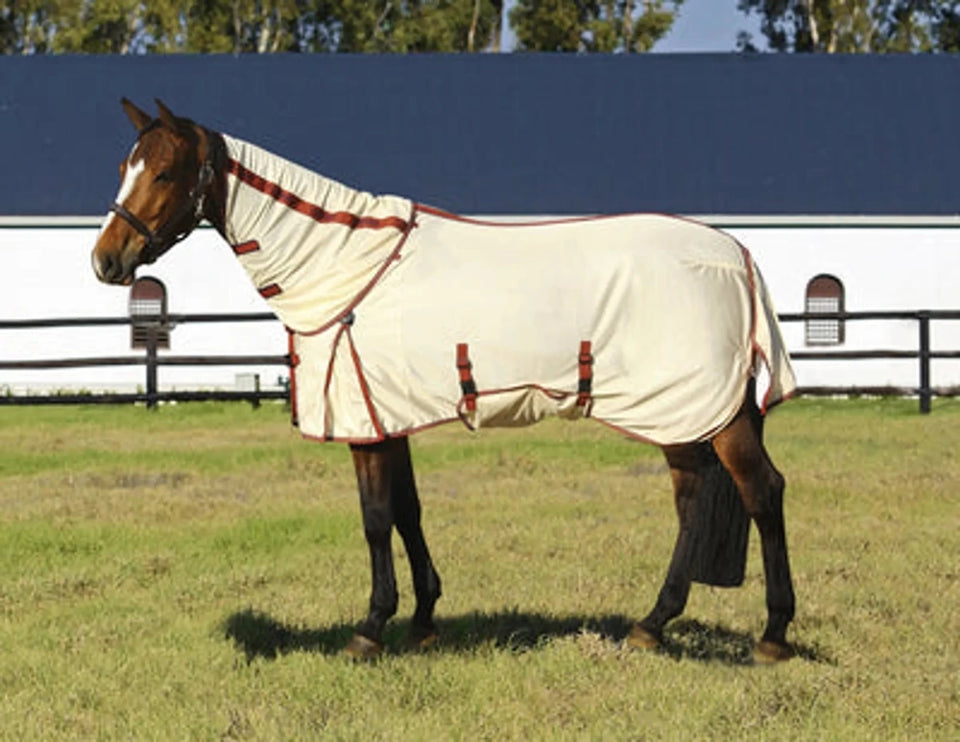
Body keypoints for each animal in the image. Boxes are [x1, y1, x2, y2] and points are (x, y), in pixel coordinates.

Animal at [92, 98, 798, 663]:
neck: (343, 264)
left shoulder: (366, 422)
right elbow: (408, 511)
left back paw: (772, 636)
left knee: (762, 492)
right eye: (125, 166)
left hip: (708, 411)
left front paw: (371, 628)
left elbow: (376, 518)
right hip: (682, 414)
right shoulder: (389, 411)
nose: (106, 261)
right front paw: (424, 620)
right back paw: (652, 625)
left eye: (164, 171)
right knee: (692, 503)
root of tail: (736, 254)